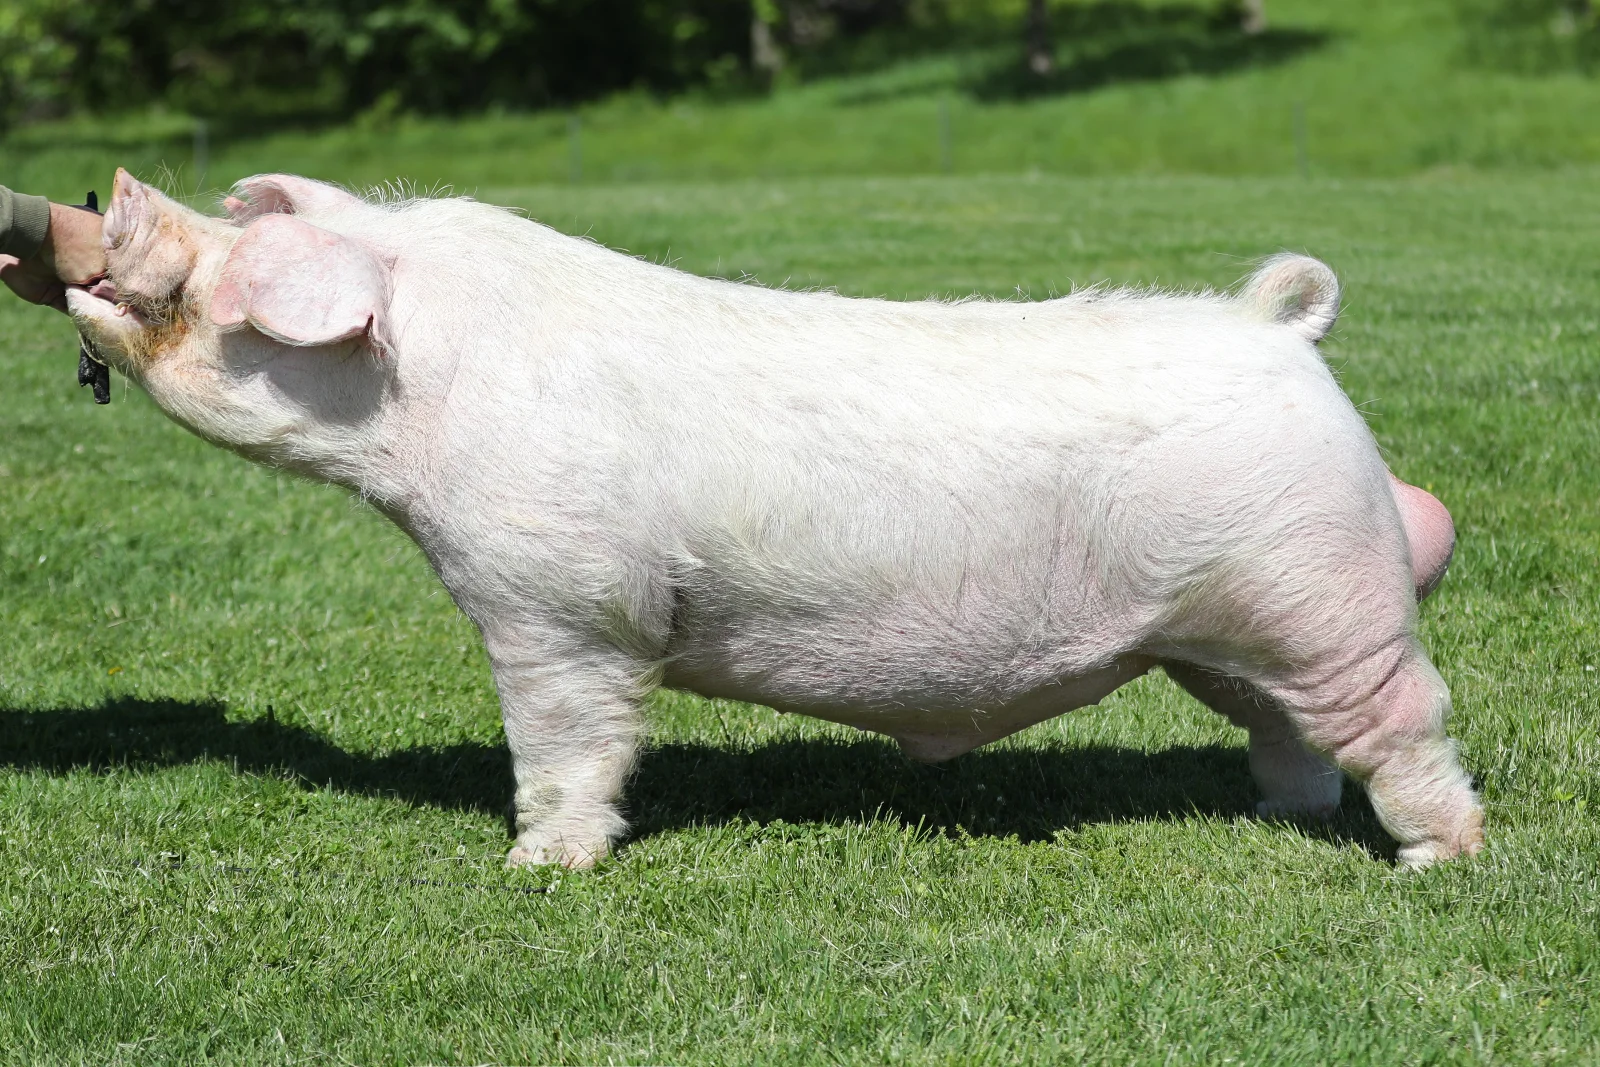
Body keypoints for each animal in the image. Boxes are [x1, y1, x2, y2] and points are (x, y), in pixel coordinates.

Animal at [66, 169, 1482, 870]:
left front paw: (539, 865)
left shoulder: (556, 599)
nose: (114, 185)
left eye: (219, 272)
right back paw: (1278, 817)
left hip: (1322, 593)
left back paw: (1435, 859)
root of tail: (1274, 327)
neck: (427, 399)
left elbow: (569, 738)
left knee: (1408, 718)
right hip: (1225, 631)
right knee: (1289, 734)